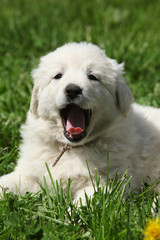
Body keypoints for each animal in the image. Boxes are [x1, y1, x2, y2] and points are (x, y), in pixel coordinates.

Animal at [0, 42, 160, 202]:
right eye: (58, 76)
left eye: (93, 77)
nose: (72, 90)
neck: (71, 149)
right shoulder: (32, 173)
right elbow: (10, 181)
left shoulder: (111, 182)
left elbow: (86, 199)